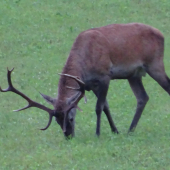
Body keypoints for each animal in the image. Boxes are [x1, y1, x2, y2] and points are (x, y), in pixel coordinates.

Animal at [0, 22, 168, 137]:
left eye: (71, 118)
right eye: (57, 120)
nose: (68, 136)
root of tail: (161, 34)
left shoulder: (105, 75)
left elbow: (99, 107)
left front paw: (98, 133)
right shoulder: (90, 84)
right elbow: (106, 106)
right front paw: (115, 130)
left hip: (155, 64)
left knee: (166, 88)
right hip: (133, 75)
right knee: (142, 97)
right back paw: (130, 130)